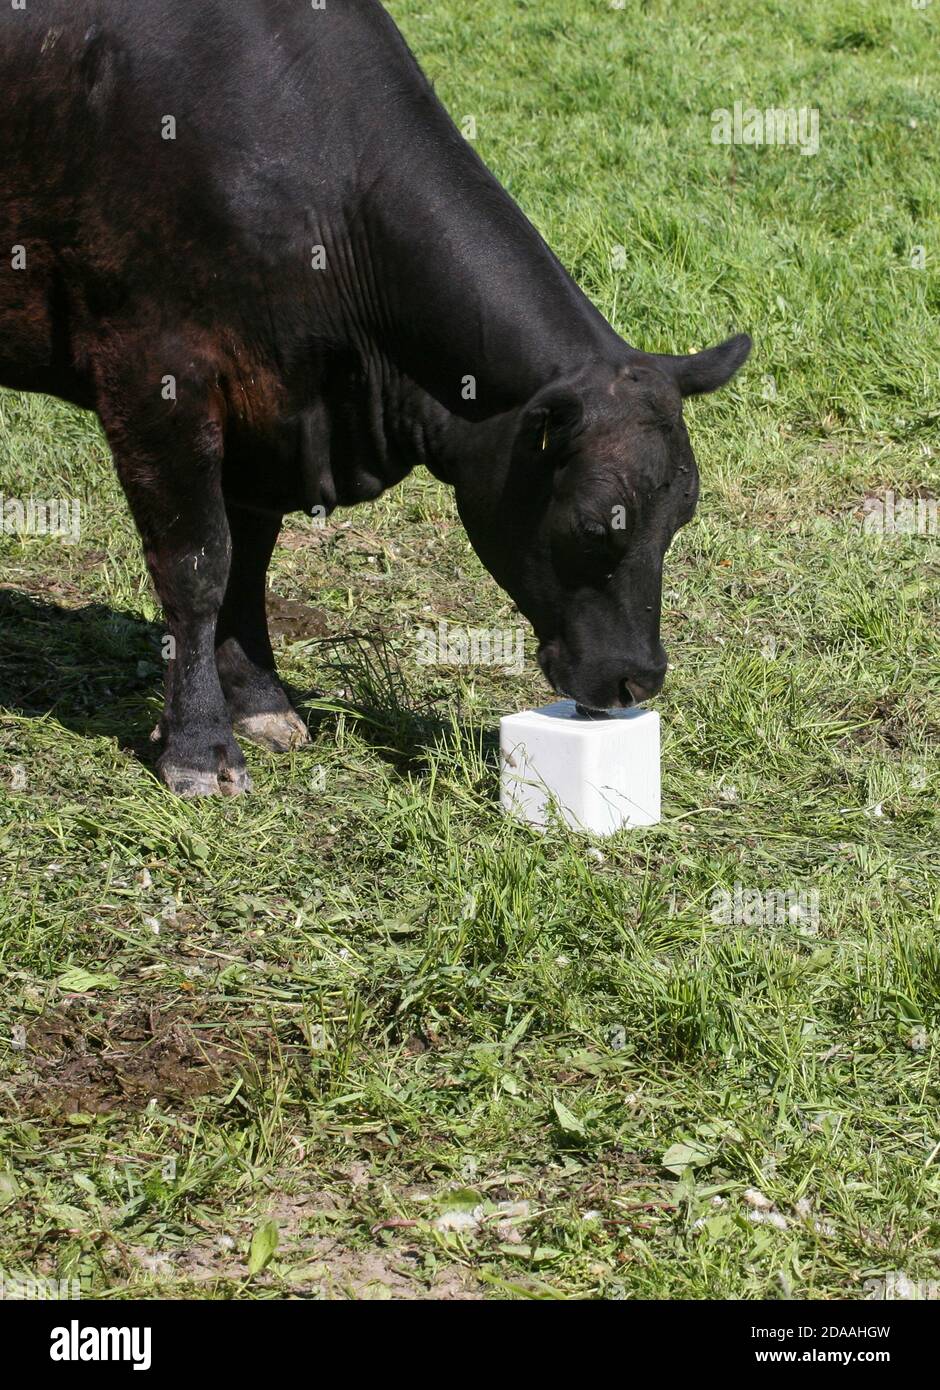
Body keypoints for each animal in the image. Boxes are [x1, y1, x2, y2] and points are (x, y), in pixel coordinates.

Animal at [0, 0, 750, 796]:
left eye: (681, 517)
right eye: (592, 524)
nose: (640, 679)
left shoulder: (269, 411)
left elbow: (249, 560)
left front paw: (261, 703)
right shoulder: (155, 374)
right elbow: (198, 565)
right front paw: (199, 746)